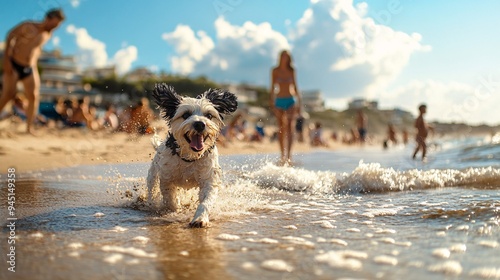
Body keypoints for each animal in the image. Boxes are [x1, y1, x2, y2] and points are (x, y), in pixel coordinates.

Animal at [146, 83, 238, 228]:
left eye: (209, 115)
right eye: (186, 114)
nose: (200, 124)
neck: (190, 157)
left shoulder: (209, 178)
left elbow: (206, 200)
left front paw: (200, 218)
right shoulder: (166, 177)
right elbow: (169, 197)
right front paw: (175, 209)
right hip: (153, 175)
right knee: (152, 189)